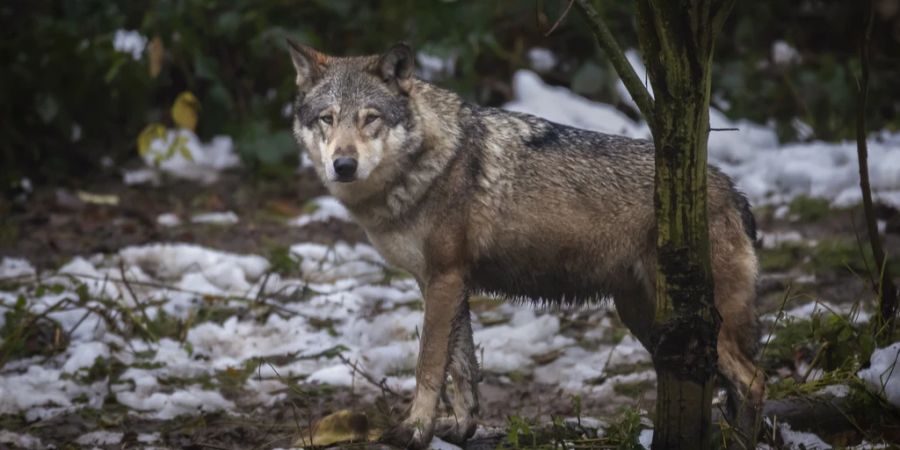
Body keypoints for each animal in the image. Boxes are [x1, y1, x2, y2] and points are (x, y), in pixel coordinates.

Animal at [288, 40, 768, 448]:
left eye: (370, 118)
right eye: (328, 118)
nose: (343, 165)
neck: (425, 164)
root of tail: (733, 189)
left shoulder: (444, 279)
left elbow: (428, 365)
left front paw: (416, 430)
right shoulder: (443, 282)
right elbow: (462, 369)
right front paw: (461, 428)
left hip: (694, 323)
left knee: (754, 381)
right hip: (650, 321)